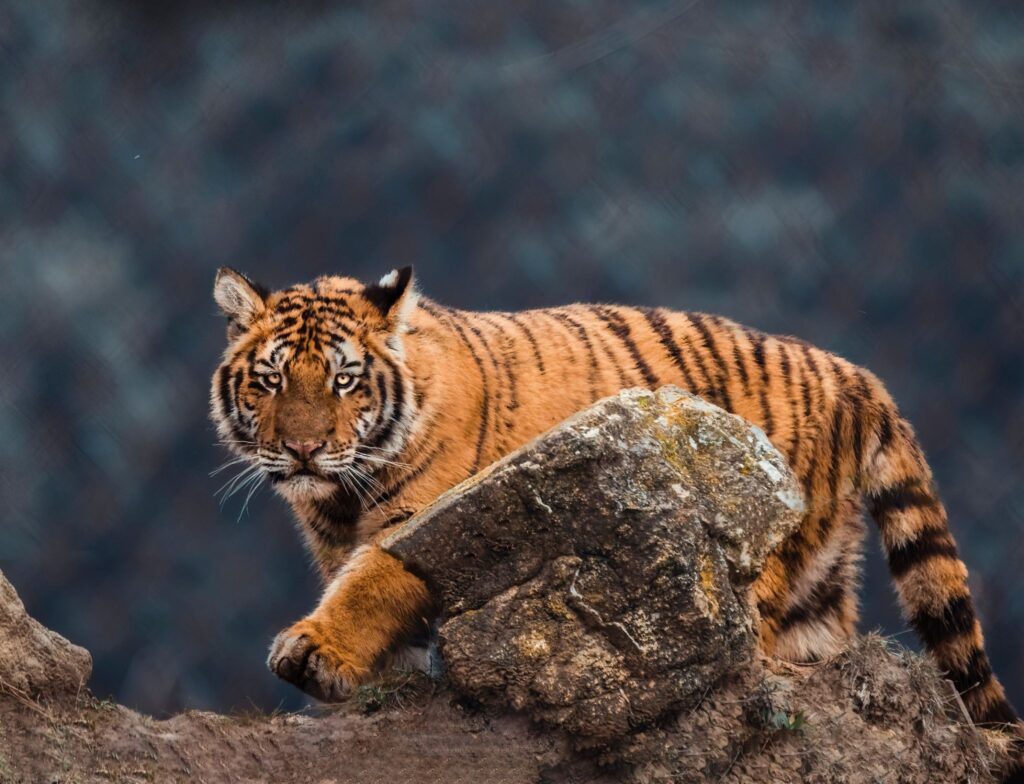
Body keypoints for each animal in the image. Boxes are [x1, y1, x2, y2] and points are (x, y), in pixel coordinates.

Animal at [210, 265, 1021, 775]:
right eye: (271, 379)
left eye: (345, 379)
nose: (304, 450)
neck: (338, 497)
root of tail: (855, 376)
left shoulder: (414, 520)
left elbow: (370, 584)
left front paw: (315, 653)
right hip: (815, 592)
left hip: (760, 563)